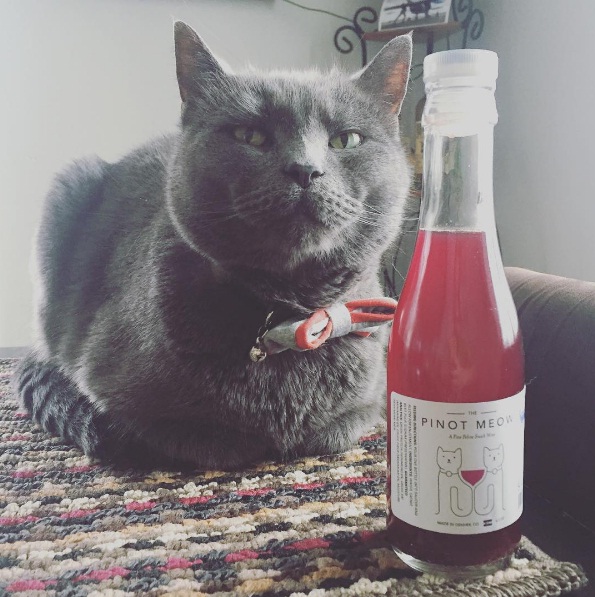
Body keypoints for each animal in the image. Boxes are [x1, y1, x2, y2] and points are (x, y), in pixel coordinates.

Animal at [14, 22, 413, 470]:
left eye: (346, 140)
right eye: (250, 135)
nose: (305, 169)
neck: (290, 312)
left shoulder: (371, 399)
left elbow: (339, 428)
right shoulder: (114, 391)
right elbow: (201, 437)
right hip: (66, 189)